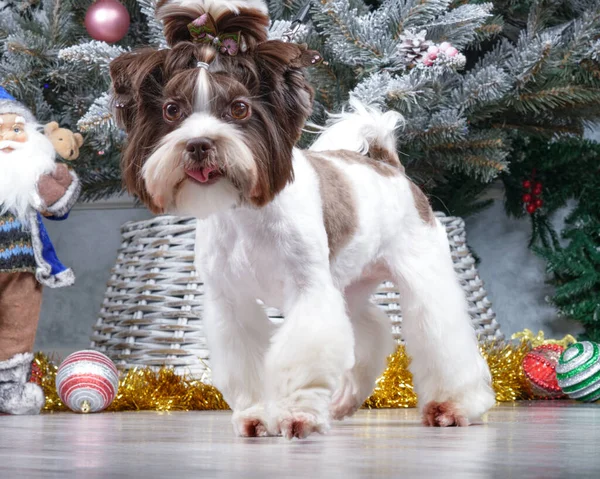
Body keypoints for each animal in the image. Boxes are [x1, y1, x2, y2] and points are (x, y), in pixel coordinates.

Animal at [110, 0, 494, 440]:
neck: (245, 216)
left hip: (421, 273)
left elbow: (303, 355)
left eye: (239, 108)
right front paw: (258, 414)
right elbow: (250, 363)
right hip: (349, 285)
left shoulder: (309, 290)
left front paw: (298, 415)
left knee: (441, 334)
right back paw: (345, 400)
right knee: (371, 330)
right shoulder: (232, 303)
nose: (200, 144)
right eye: (172, 110)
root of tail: (387, 163)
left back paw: (453, 405)